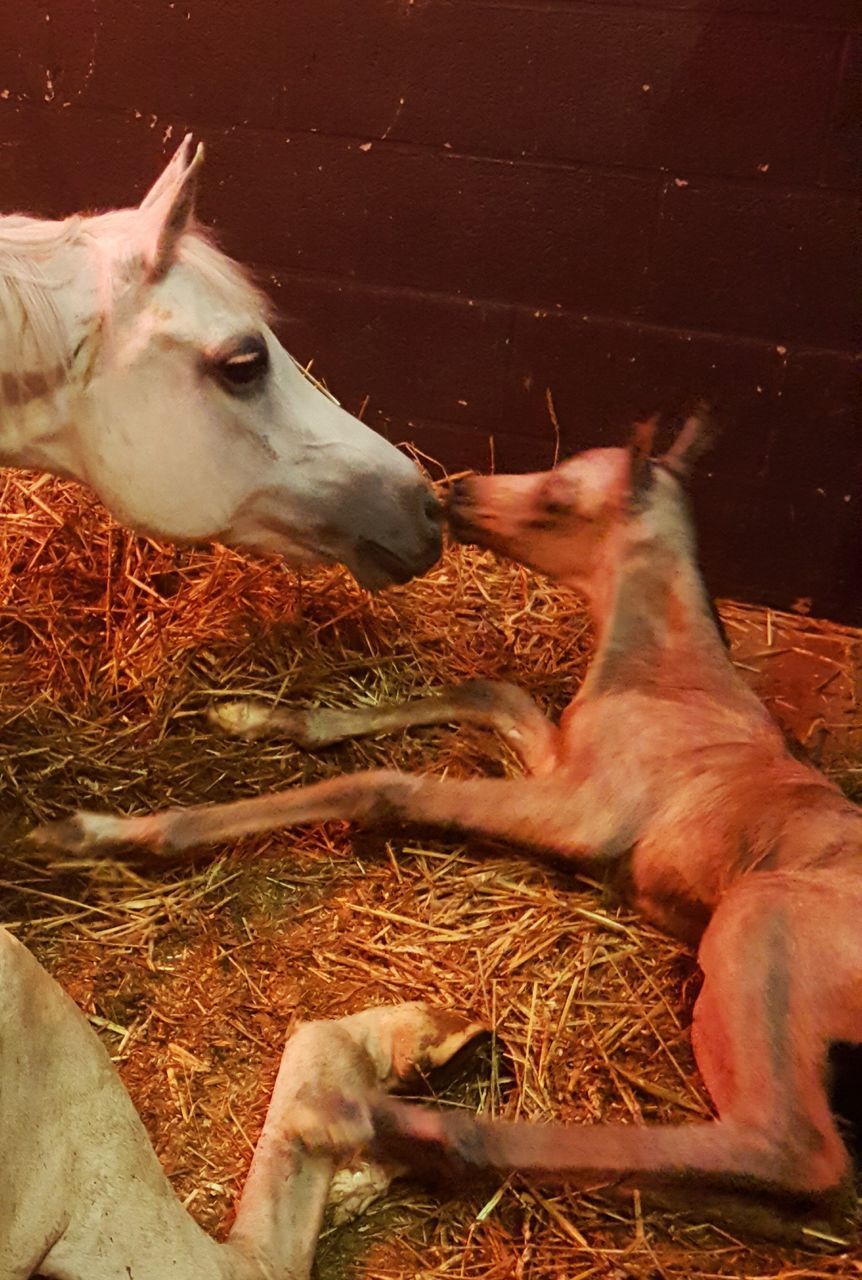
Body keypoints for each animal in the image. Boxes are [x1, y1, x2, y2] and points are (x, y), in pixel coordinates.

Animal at [35, 412, 860, 1249]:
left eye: (559, 497)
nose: (455, 494)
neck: (662, 681)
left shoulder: (590, 813)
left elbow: (383, 786)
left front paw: (100, 833)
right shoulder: (556, 762)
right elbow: (487, 690)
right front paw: (254, 714)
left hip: (758, 925)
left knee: (790, 1147)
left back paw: (366, 1118)